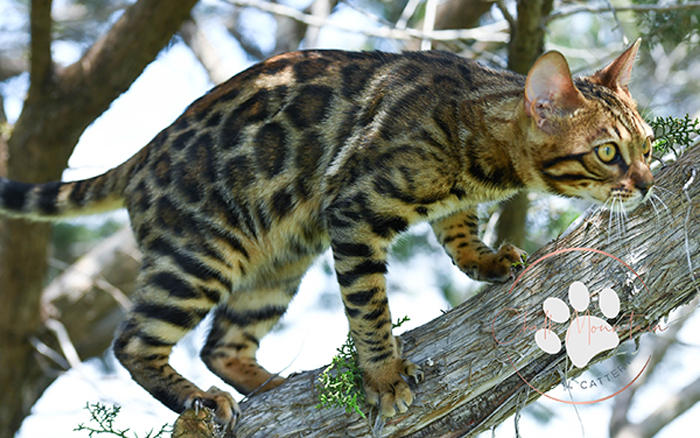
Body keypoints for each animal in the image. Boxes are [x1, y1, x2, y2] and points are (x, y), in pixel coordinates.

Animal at [0, 39, 652, 430]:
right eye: (608, 153)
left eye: (646, 146)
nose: (647, 183)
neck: (476, 140)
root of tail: (142, 155)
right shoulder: (356, 212)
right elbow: (370, 311)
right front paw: (384, 379)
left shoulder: (437, 206)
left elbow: (458, 234)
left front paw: (486, 260)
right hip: (202, 256)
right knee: (134, 342)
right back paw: (199, 400)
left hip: (280, 262)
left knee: (222, 344)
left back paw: (274, 385)